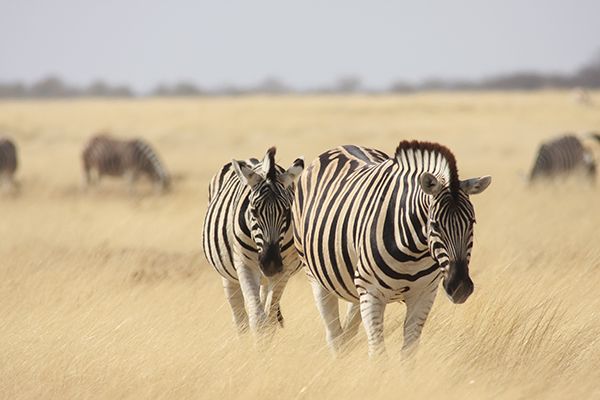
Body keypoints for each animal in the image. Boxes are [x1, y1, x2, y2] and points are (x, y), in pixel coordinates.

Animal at [203, 148, 304, 336]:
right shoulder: (245, 266)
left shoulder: (284, 270)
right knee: (240, 319)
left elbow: (269, 320)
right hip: (228, 276)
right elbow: (257, 320)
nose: (271, 264)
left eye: (287, 211)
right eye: (254, 211)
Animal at [292, 141, 492, 356]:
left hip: (354, 286)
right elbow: (378, 354)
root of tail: (342, 146)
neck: (414, 252)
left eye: (472, 223)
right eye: (435, 225)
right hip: (317, 278)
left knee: (348, 332)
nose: (460, 288)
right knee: (334, 335)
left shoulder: (424, 294)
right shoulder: (371, 294)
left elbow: (409, 352)